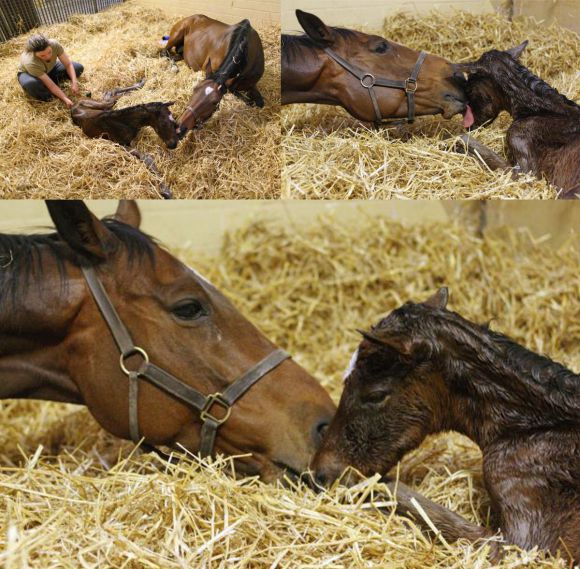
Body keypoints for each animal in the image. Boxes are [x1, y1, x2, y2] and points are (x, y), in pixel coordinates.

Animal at [312, 286, 580, 560]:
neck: (533, 428)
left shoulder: (522, 544)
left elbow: (419, 505)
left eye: (375, 395)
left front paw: (357, 485)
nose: (319, 474)